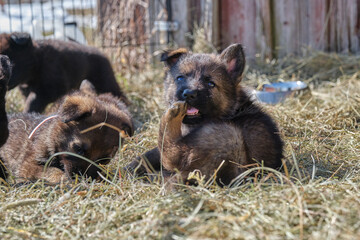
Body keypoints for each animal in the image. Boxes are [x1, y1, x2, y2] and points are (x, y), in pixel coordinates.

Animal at [0, 79, 134, 183]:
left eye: (104, 159)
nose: (84, 179)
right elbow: (51, 170)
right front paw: (63, 178)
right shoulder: (28, 165)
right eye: (78, 148)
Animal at [127, 44, 284, 187]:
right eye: (180, 78)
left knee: (171, 152)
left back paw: (172, 114)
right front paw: (130, 166)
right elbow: (150, 154)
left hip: (229, 136)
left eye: (210, 83)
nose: (189, 94)